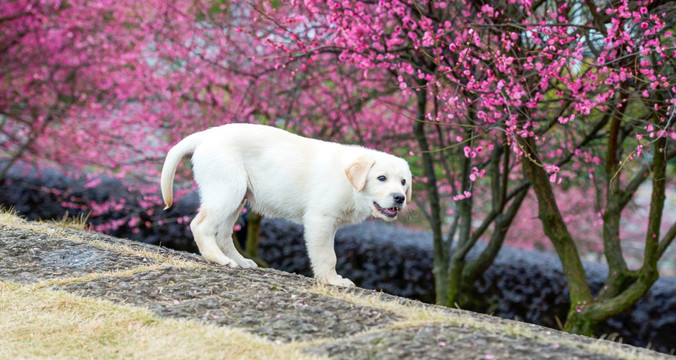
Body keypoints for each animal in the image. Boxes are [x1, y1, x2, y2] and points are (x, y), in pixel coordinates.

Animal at [161, 124, 412, 286]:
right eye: (381, 178)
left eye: (403, 182)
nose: (400, 198)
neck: (350, 184)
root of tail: (206, 135)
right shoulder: (320, 219)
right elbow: (327, 256)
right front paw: (332, 281)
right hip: (227, 190)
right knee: (201, 225)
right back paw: (218, 259)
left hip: (236, 197)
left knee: (223, 234)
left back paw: (240, 261)